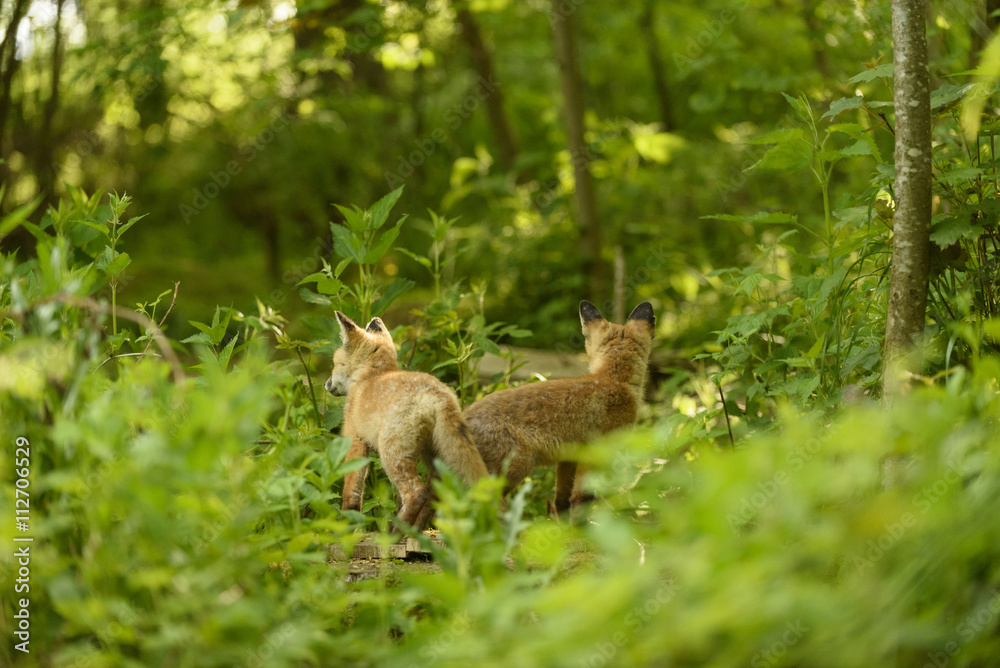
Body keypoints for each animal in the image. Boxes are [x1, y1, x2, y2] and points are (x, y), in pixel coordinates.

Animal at [324, 311, 489, 528]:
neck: (371, 376)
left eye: (335, 364)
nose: (326, 384)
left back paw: (395, 531)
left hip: (392, 455)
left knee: (416, 494)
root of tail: (438, 395)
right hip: (435, 456)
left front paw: (346, 525)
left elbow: (351, 492)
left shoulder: (355, 437)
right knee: (433, 494)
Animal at [464, 300, 655, 512]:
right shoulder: (600, 453)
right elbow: (587, 498)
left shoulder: (569, 458)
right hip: (510, 473)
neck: (613, 380)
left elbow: (563, 500)